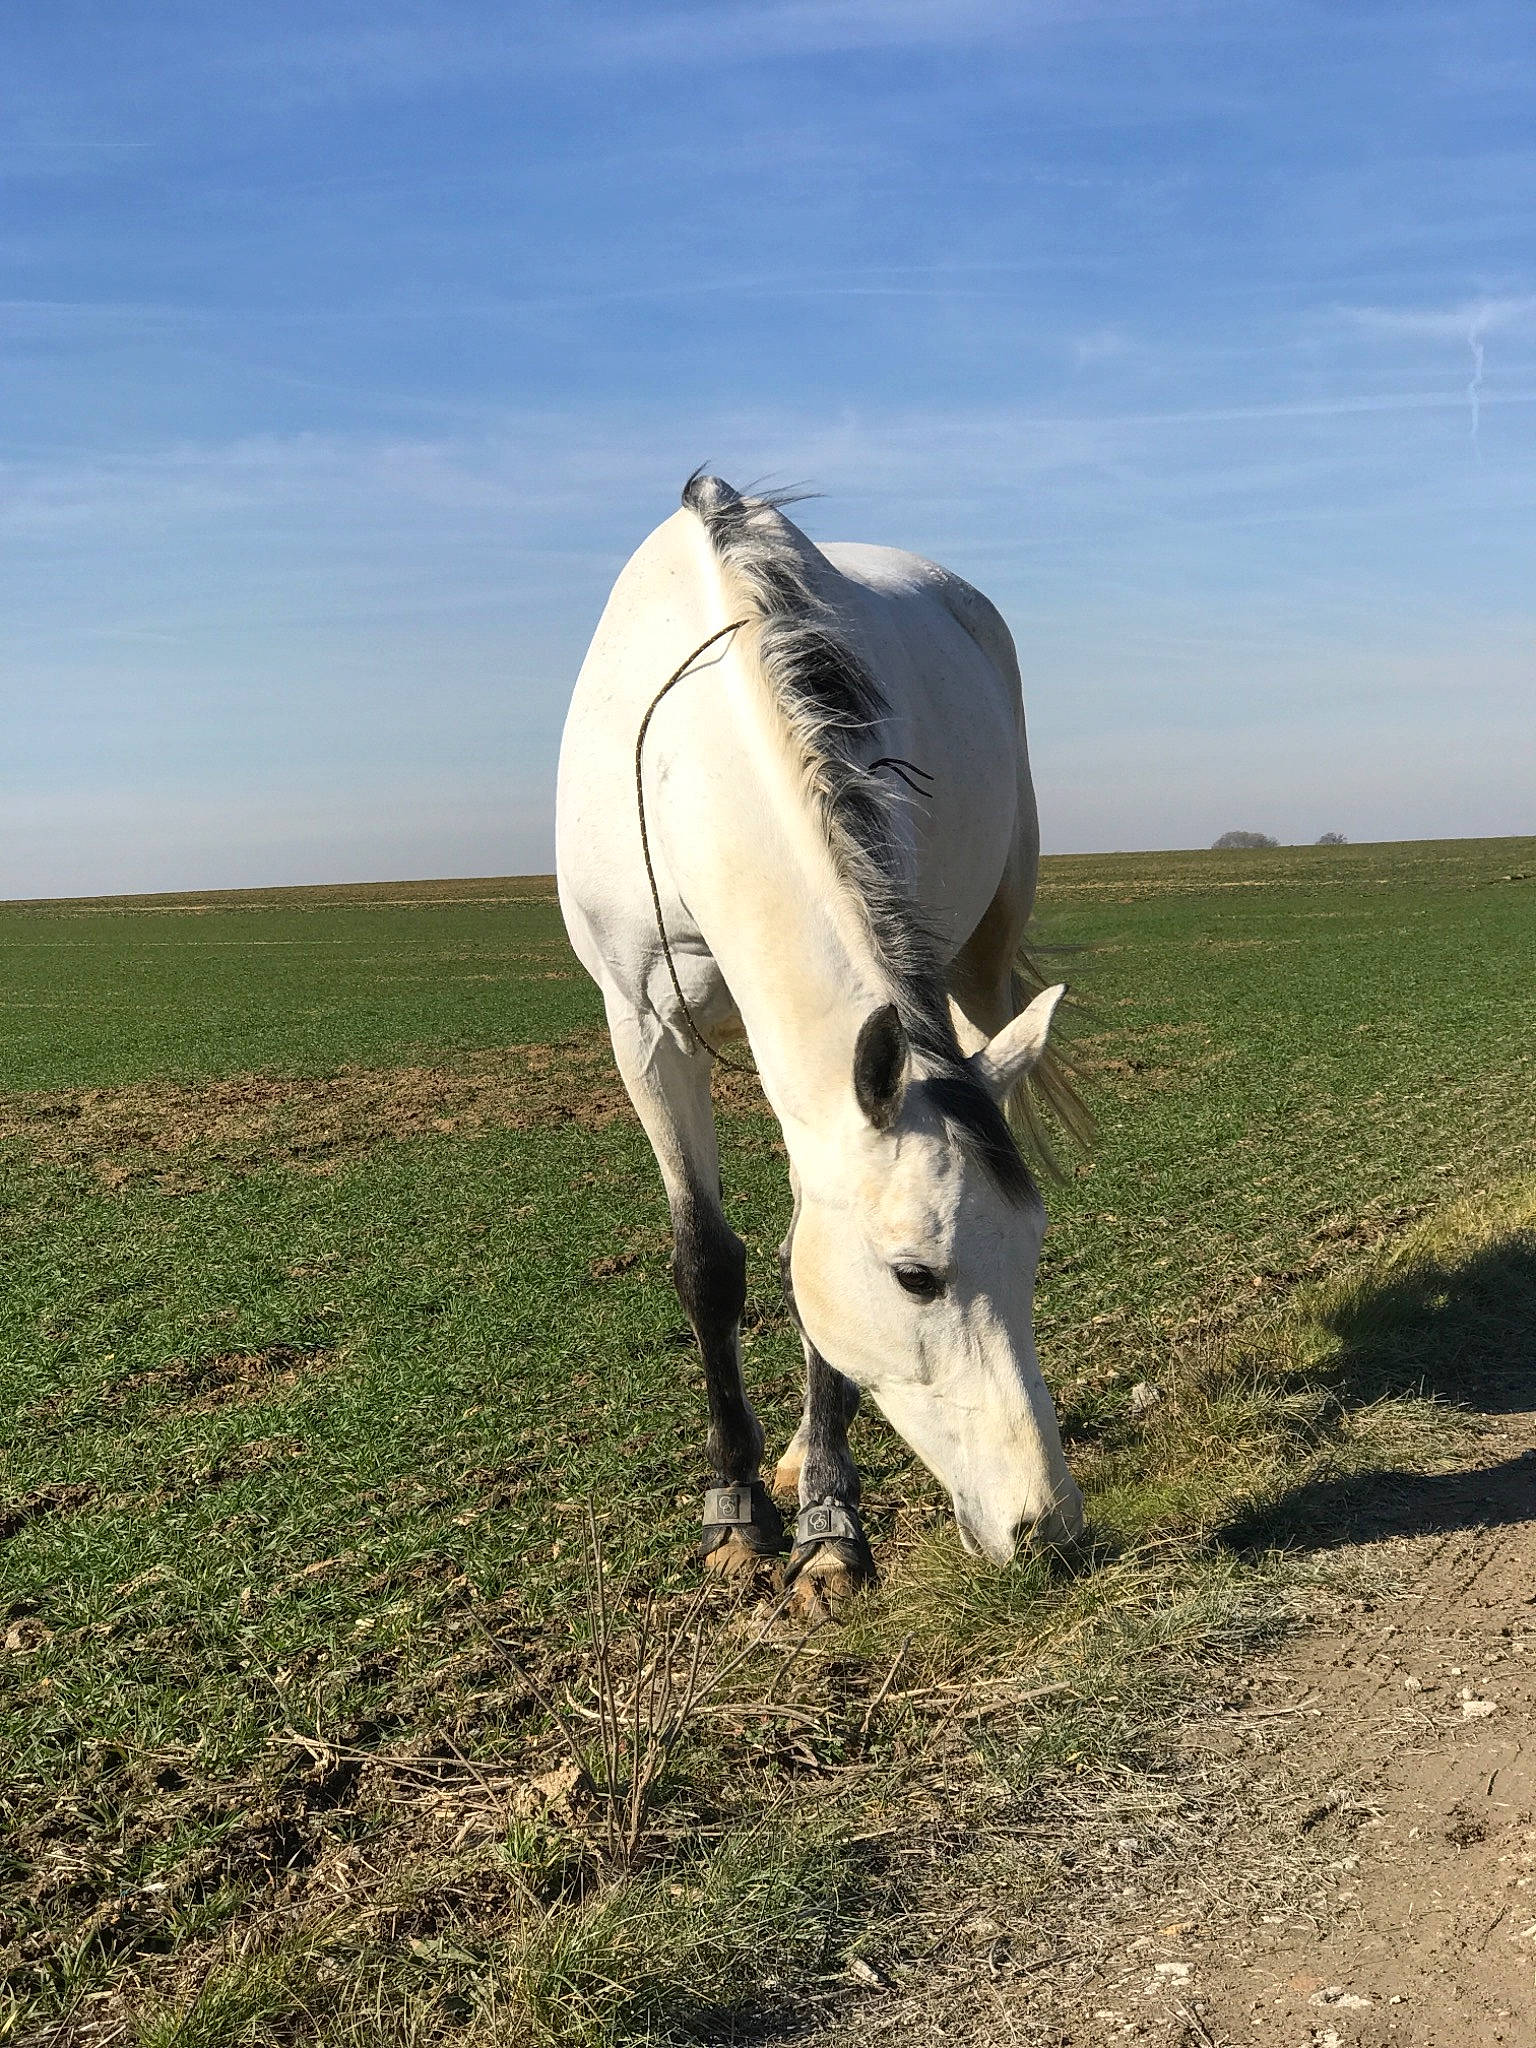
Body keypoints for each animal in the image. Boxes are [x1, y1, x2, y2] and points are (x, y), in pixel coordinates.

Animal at [556, 474, 1086, 1610]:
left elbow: (805, 1260)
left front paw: (831, 1524)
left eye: (1032, 1252)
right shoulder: (641, 1025)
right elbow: (708, 1262)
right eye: (915, 1276)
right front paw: (737, 1510)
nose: (1049, 1527)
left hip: (981, 958)